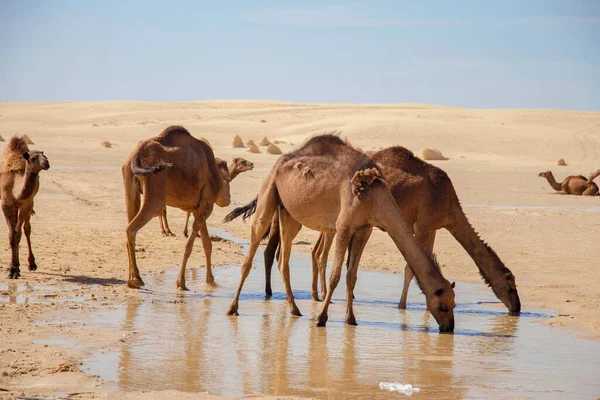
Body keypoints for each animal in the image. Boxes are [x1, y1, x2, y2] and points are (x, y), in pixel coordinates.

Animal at [0, 134, 49, 278]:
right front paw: (13, 268)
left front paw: (15, 269)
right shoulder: (6, 204)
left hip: (30, 203)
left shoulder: (26, 204)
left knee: (27, 229)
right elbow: (12, 235)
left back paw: (31, 264)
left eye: (45, 156)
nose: (47, 163)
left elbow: (19, 233)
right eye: (33, 158)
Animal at [123, 126, 231, 290]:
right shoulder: (207, 204)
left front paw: (210, 281)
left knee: (129, 224)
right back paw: (137, 279)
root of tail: (137, 154)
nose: (229, 198)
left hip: (130, 188)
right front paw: (181, 282)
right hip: (155, 193)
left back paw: (131, 280)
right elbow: (189, 245)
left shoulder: (199, 207)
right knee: (132, 228)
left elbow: (207, 244)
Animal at [225, 134, 454, 332]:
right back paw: (232, 308)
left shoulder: (364, 228)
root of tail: (280, 162)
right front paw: (321, 318)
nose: (448, 328)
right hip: (269, 192)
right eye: (443, 305)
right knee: (250, 254)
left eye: (454, 303)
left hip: (288, 212)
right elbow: (335, 274)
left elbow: (351, 275)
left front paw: (350, 319)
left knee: (283, 260)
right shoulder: (344, 226)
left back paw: (295, 309)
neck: (375, 197)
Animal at [239, 145, 520, 314]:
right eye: (511, 285)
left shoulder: (431, 226)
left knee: (306, 251)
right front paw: (405, 305)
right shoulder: (424, 224)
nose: (517, 308)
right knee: (296, 251)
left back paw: (312, 295)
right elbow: (410, 268)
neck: (450, 206)